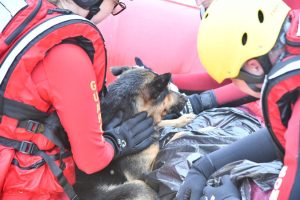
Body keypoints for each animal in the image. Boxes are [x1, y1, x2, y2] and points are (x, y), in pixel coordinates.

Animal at [74, 61, 196, 200]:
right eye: (167, 91)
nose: (186, 98)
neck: (129, 116)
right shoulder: (146, 174)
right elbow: (168, 140)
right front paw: (181, 134)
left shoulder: (150, 123)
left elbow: (162, 123)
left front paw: (183, 119)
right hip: (138, 187)